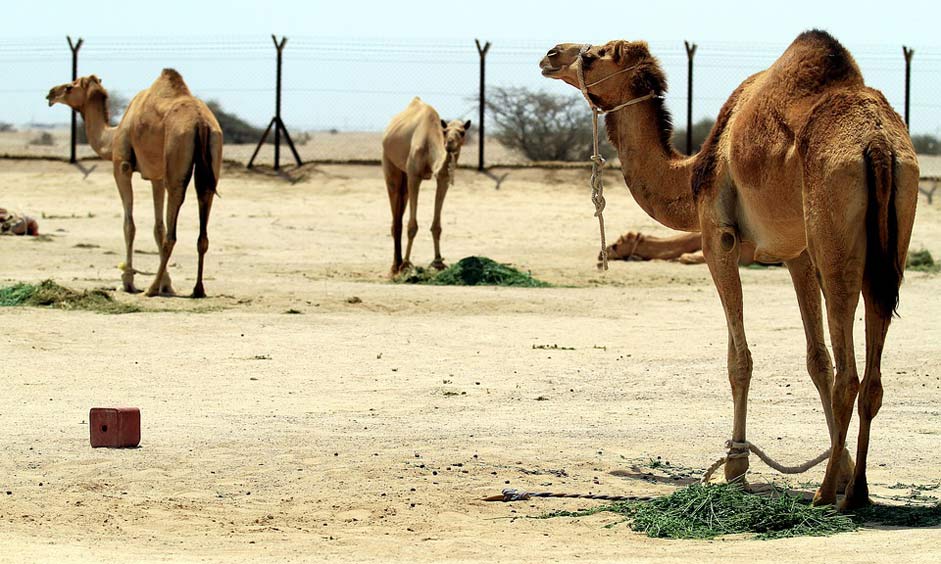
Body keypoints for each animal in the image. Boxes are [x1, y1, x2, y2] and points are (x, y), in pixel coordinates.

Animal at [47, 69, 224, 298]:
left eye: (70, 86)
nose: (51, 93)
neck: (112, 135)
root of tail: (200, 123)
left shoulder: (122, 166)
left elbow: (129, 225)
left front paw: (127, 281)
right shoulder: (157, 176)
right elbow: (158, 228)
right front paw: (166, 284)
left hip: (176, 160)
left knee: (172, 228)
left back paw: (150, 289)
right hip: (212, 155)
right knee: (202, 217)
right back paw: (198, 289)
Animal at [382, 97, 470, 276]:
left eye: (462, 132)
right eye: (445, 131)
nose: (449, 144)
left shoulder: (442, 179)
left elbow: (437, 226)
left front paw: (438, 262)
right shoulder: (414, 176)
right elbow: (412, 225)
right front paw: (407, 264)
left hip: (404, 176)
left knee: (401, 204)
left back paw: (398, 263)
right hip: (389, 163)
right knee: (396, 213)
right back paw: (395, 267)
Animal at [540, 28, 916, 508]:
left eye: (597, 54)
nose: (551, 55)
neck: (692, 172)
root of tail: (878, 146)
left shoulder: (718, 236)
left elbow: (740, 359)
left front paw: (735, 468)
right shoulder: (796, 252)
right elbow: (817, 360)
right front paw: (844, 463)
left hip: (835, 239)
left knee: (848, 367)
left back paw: (826, 493)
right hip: (891, 238)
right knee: (871, 365)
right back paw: (857, 491)